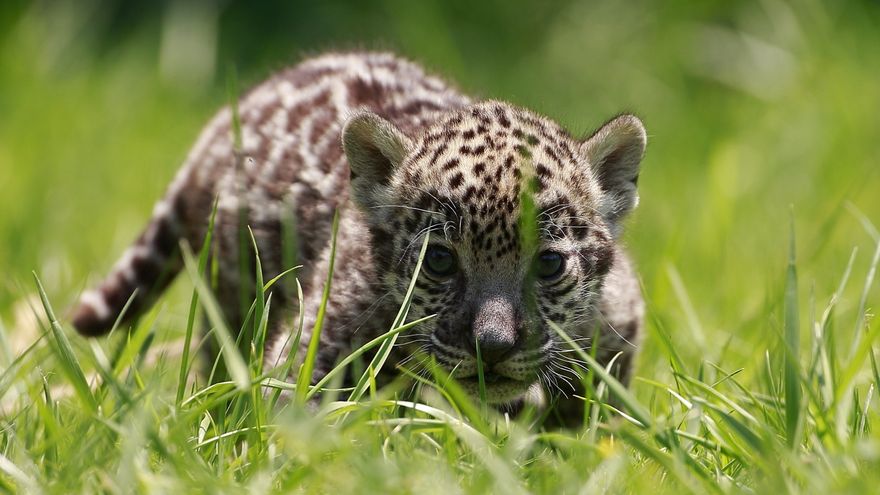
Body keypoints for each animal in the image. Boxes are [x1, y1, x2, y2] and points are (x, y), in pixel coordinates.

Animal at [71, 52, 646, 421]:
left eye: (549, 265)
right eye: (439, 262)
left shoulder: (618, 323)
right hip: (232, 299)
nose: (493, 346)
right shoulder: (314, 346)